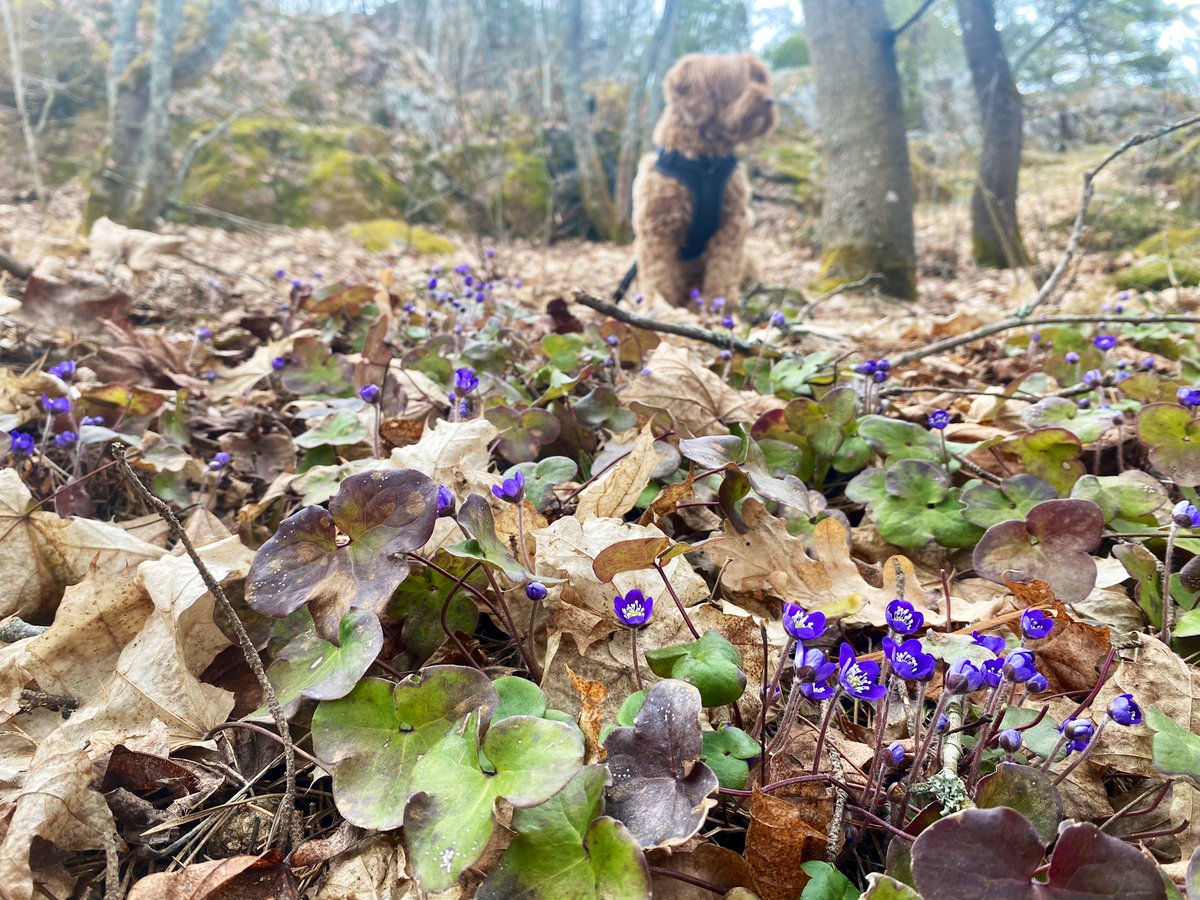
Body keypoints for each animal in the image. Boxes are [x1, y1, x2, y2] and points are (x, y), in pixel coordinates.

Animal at [633, 55, 772, 309]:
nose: (769, 100)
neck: (704, 163)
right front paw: (660, 306)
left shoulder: (733, 223)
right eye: (737, 79)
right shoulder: (657, 228)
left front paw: (721, 304)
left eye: (759, 79)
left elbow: (723, 270)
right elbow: (658, 275)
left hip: (748, 259)